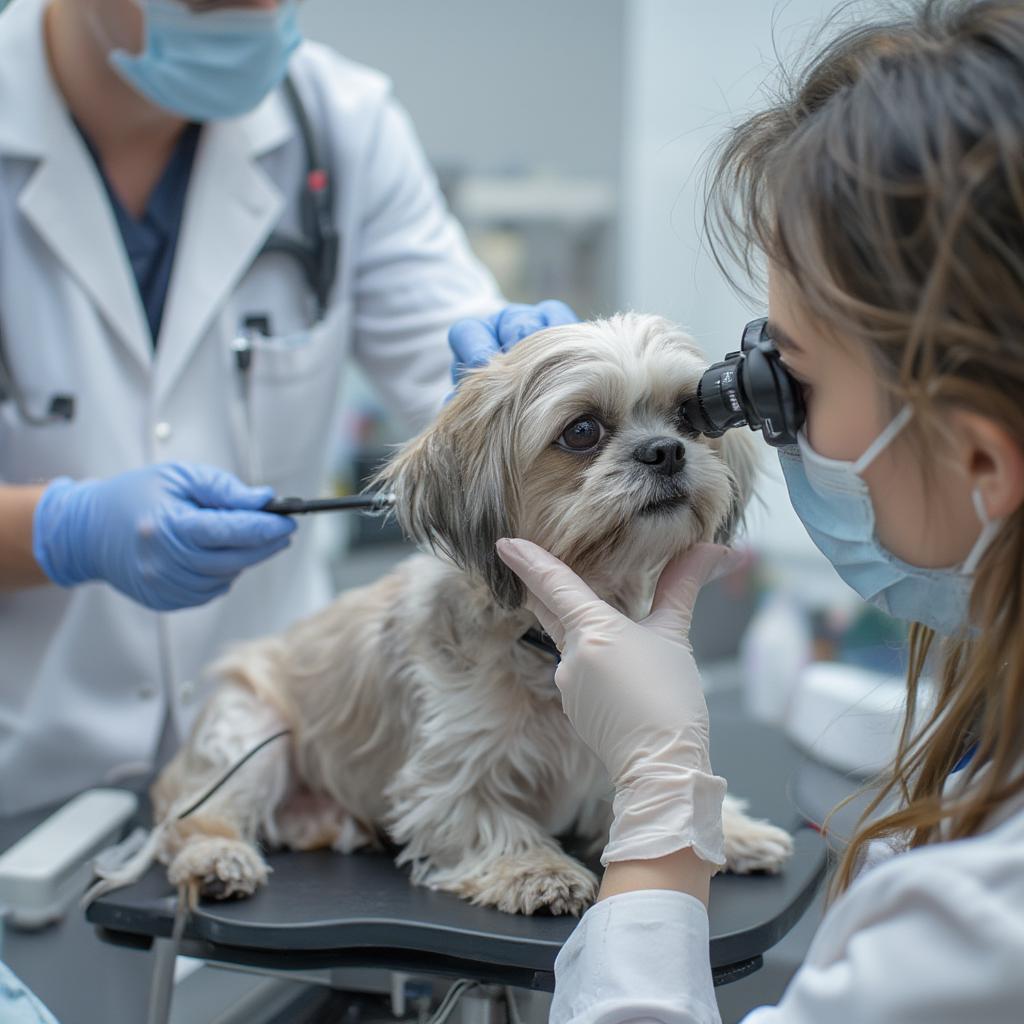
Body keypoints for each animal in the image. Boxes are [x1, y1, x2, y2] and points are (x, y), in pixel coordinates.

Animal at [140, 315, 790, 917]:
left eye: (687, 415)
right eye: (582, 431)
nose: (667, 449)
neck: (546, 640)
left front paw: (734, 830)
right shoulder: (442, 774)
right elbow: (482, 817)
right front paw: (536, 869)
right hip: (250, 734)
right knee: (193, 817)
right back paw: (217, 857)